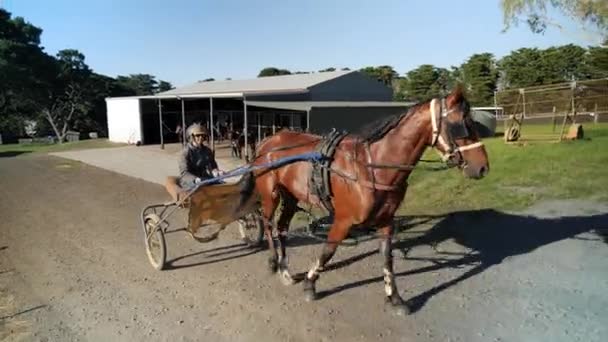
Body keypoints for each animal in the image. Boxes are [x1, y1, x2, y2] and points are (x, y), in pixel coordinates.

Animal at [238, 86, 490, 316]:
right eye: (462, 124)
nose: (482, 167)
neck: (371, 166)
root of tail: (268, 140)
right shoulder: (343, 219)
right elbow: (328, 251)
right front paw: (310, 284)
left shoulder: (386, 220)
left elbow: (387, 258)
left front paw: (394, 297)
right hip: (270, 194)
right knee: (268, 225)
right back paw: (274, 262)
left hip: (291, 196)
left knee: (281, 228)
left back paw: (285, 269)